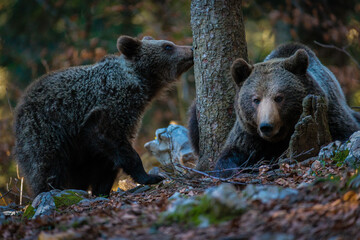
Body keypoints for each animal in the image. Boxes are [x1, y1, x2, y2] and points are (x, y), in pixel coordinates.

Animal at [13, 36, 194, 197]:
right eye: (168, 46)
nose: (191, 48)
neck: (138, 84)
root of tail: (21, 104)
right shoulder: (108, 110)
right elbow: (113, 143)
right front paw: (151, 176)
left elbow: (105, 161)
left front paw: (101, 190)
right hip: (44, 130)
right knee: (46, 165)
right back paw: (50, 190)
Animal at [188, 42, 360, 177]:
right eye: (256, 99)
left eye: (279, 97)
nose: (266, 126)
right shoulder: (249, 131)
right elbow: (230, 154)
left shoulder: (330, 113)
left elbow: (345, 133)